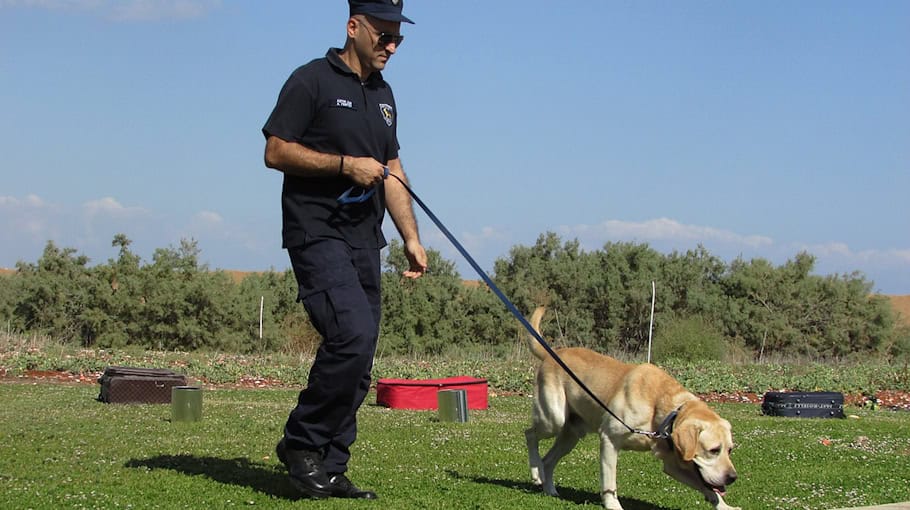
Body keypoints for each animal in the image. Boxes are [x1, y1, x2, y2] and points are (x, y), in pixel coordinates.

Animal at [528, 306, 740, 510]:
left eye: (730, 450)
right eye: (714, 450)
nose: (733, 478)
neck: (661, 409)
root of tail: (552, 353)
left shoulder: (673, 463)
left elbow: (709, 489)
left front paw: (725, 506)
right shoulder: (609, 439)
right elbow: (609, 481)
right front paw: (613, 504)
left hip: (572, 434)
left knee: (548, 460)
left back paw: (548, 486)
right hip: (553, 419)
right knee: (530, 434)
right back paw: (535, 470)